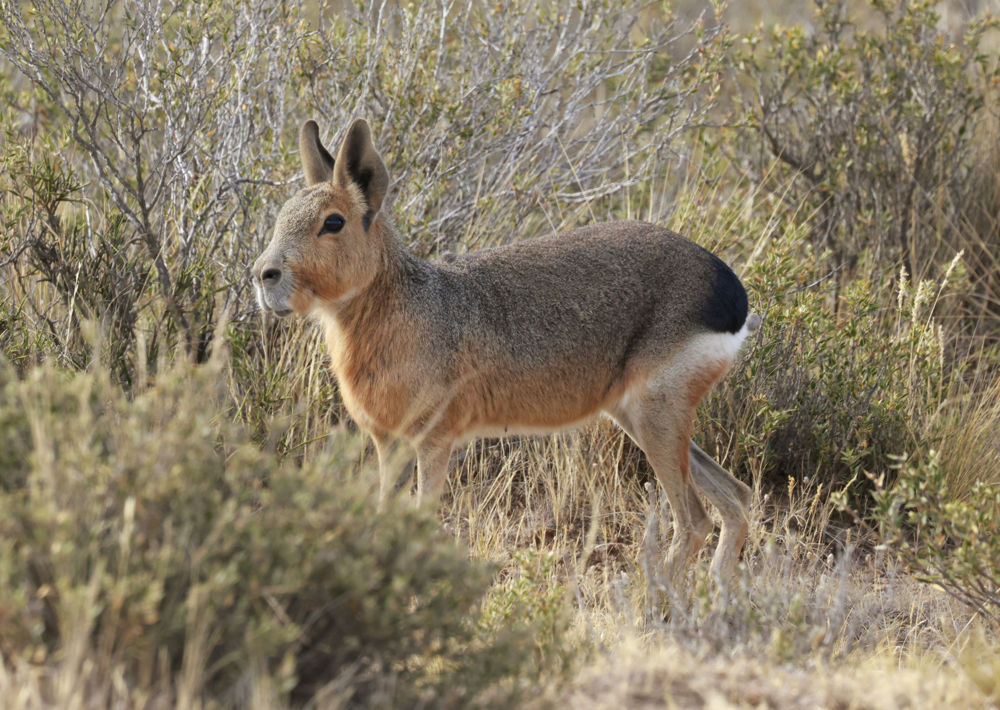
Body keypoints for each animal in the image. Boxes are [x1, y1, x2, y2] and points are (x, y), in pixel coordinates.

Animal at [252, 118, 759, 582]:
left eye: (332, 222)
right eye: (280, 217)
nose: (263, 274)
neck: (405, 308)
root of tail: (731, 291)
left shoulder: (434, 440)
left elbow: (419, 521)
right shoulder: (388, 443)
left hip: (656, 417)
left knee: (695, 520)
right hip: (639, 417)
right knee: (735, 497)